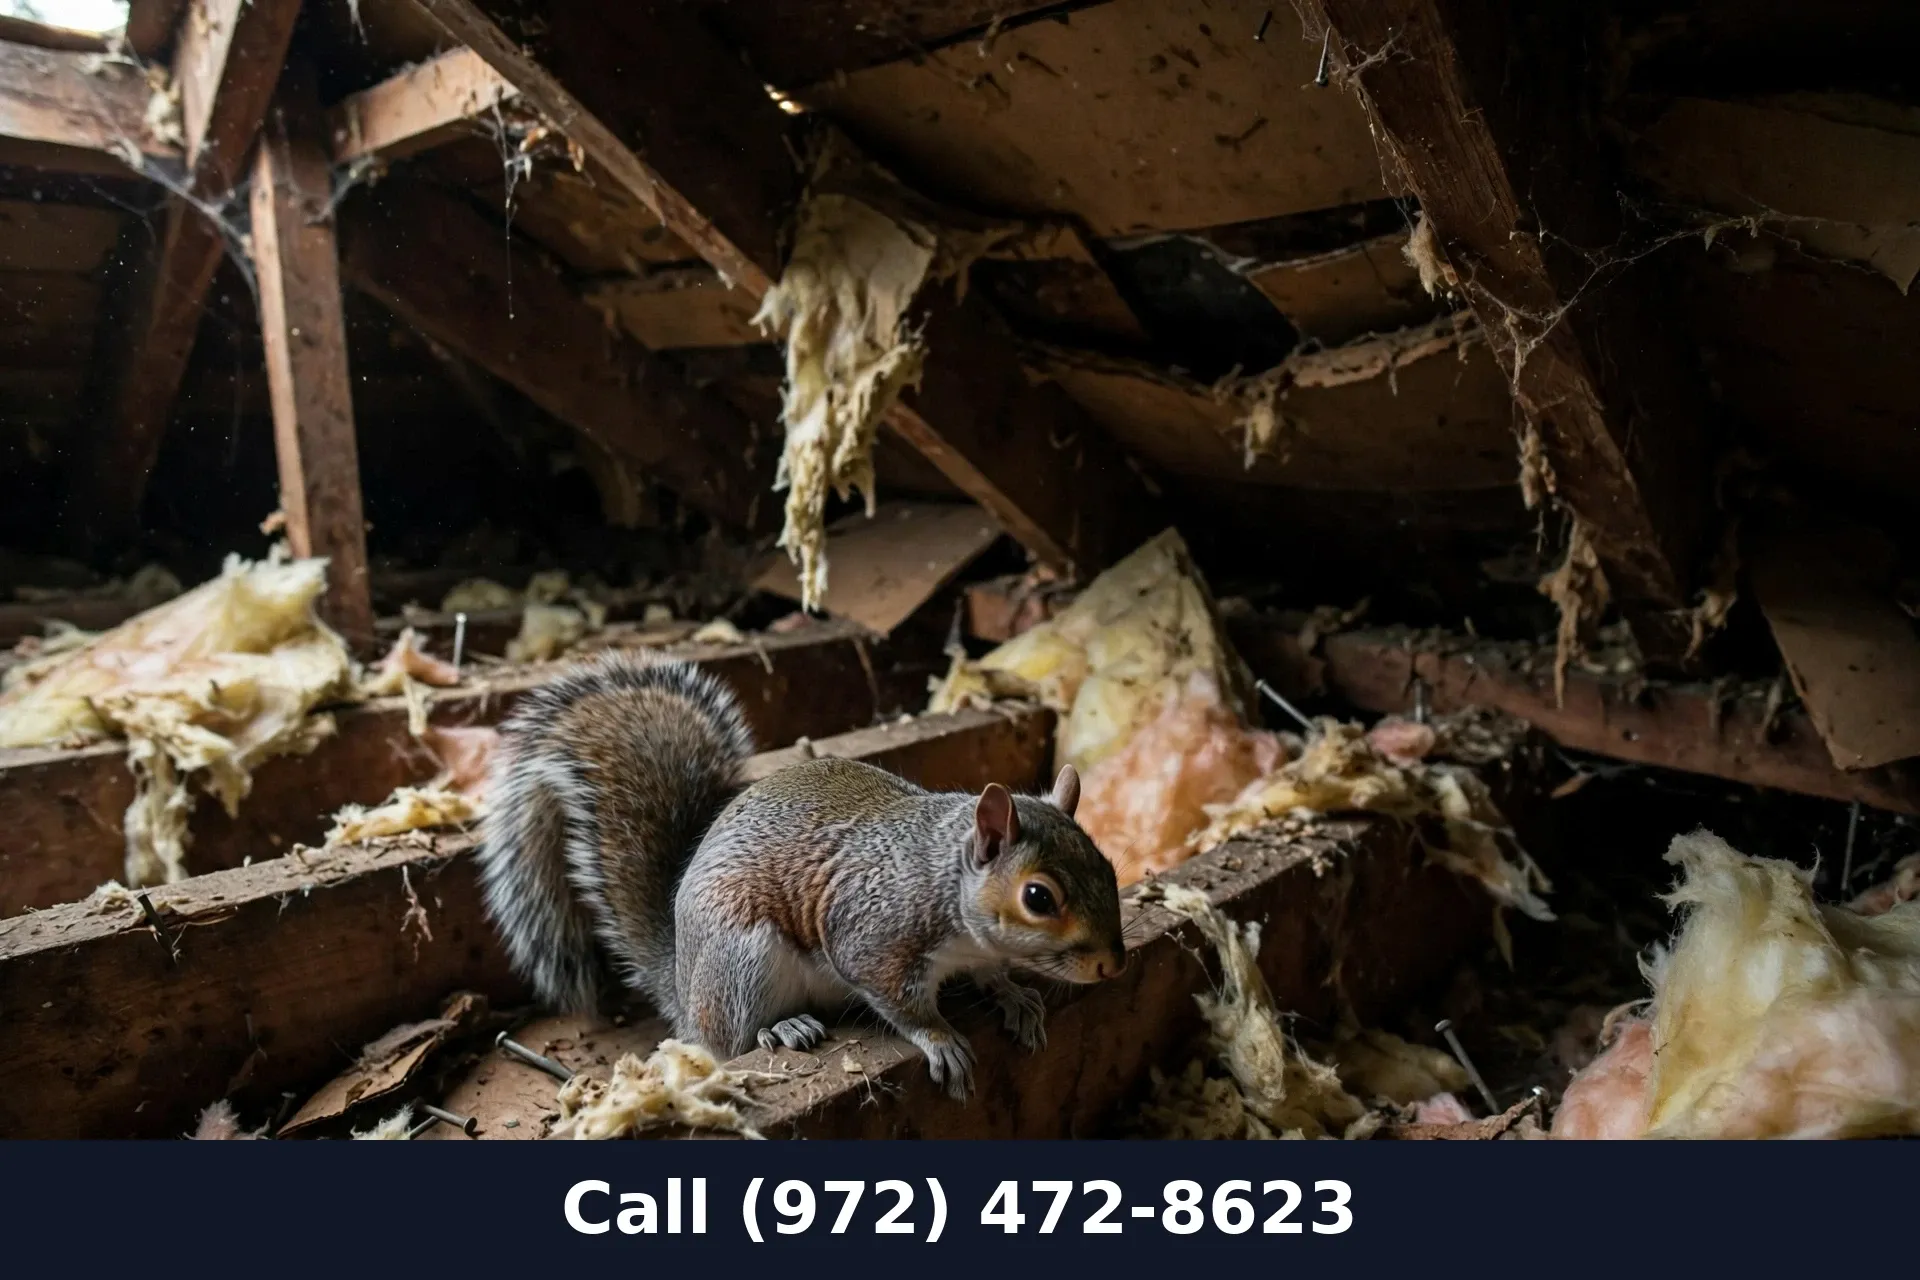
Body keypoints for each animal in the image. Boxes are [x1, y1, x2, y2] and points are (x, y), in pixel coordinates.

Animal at [476, 651, 1126, 1099]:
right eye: (1038, 897)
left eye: (1108, 865)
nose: (1112, 966)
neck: (943, 877)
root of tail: (685, 992)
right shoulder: (874, 935)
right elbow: (898, 1000)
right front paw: (940, 1038)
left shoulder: (979, 950)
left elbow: (994, 973)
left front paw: (1015, 996)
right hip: (744, 961)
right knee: (729, 1043)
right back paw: (779, 1031)